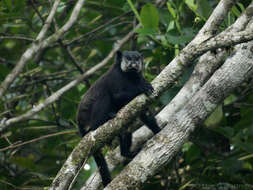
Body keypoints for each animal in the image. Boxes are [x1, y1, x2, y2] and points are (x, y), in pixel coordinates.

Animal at [77, 50, 160, 187]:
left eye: (137, 59)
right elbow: (116, 96)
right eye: (128, 58)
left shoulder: (139, 78)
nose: (134, 63)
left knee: (125, 129)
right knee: (104, 96)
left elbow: (144, 113)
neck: (130, 76)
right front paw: (141, 88)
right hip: (89, 119)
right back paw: (103, 120)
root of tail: (80, 124)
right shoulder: (115, 77)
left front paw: (158, 130)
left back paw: (126, 153)